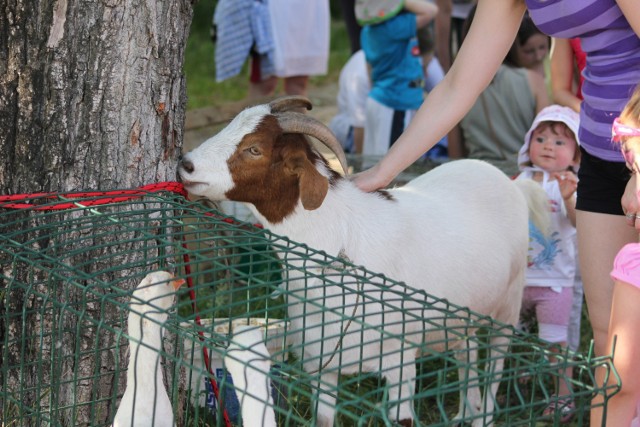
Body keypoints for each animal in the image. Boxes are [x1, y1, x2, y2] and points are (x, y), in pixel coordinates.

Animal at [179, 95, 544, 426]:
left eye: (254, 149)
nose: (186, 163)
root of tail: (508, 181)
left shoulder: (399, 363)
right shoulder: (321, 365)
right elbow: (324, 419)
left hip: (508, 305)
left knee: (495, 363)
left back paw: (483, 414)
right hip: (461, 312)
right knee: (466, 351)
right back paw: (464, 412)